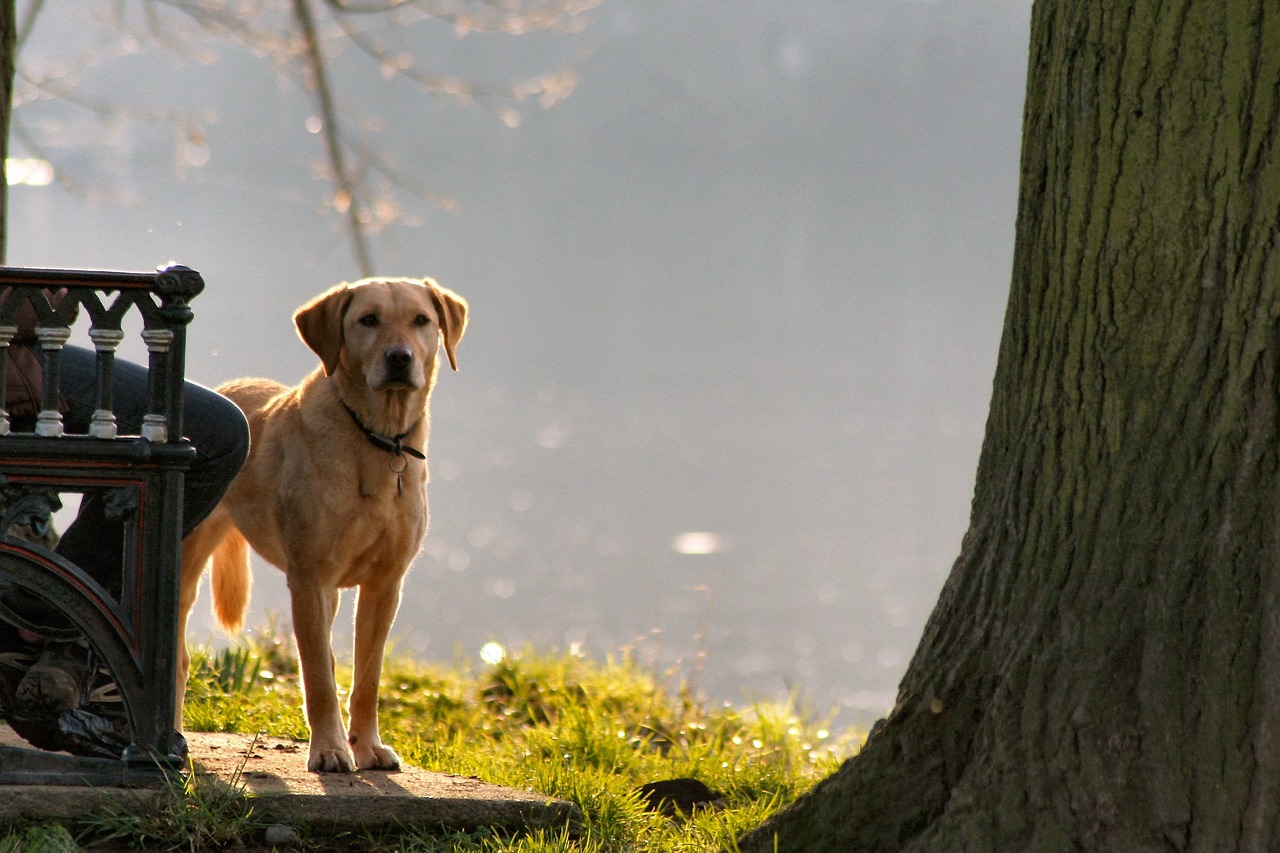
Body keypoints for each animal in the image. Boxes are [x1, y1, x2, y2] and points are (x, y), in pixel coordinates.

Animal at [175, 275, 465, 768]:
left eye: (421, 320)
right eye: (368, 320)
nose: (399, 357)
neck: (377, 440)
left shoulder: (384, 584)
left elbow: (367, 677)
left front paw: (367, 747)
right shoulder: (310, 579)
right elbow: (318, 679)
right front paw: (330, 749)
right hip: (183, 565)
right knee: (176, 660)